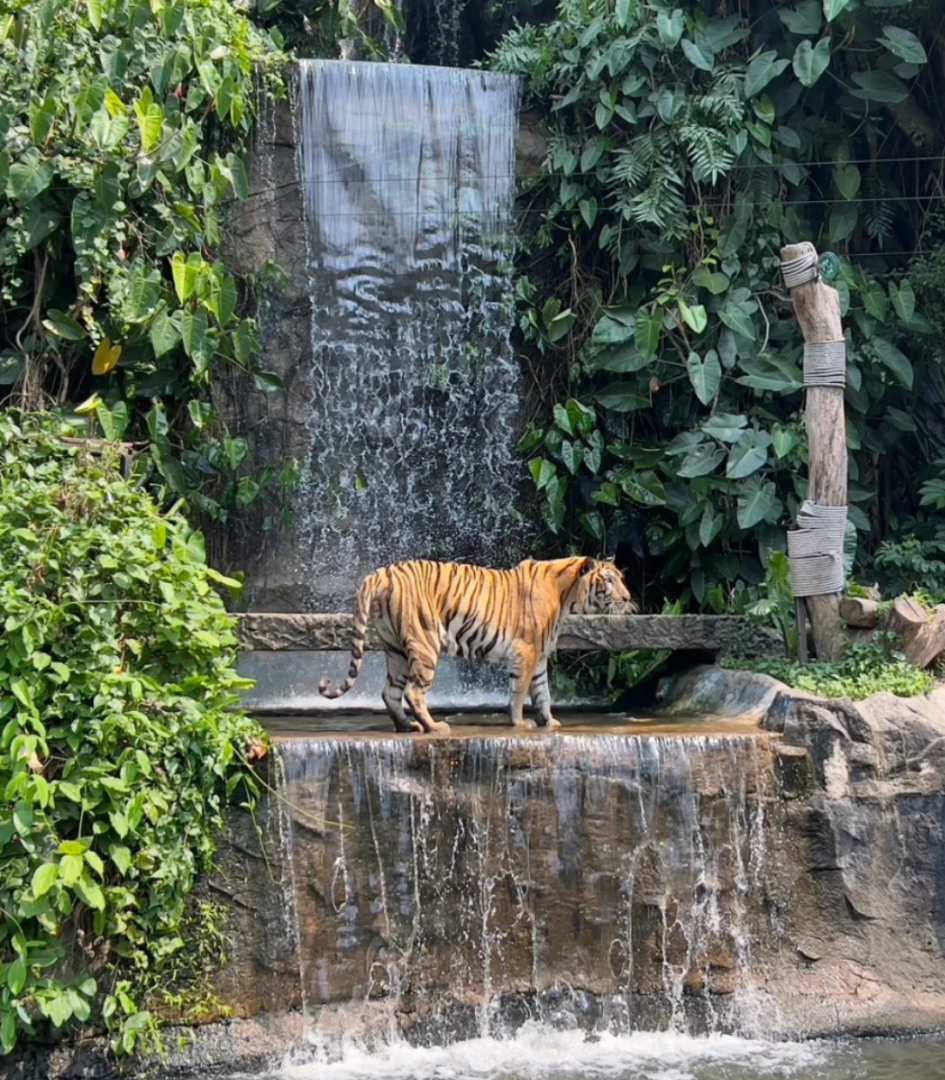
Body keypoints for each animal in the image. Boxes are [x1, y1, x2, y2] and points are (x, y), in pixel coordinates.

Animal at [319, 556, 634, 735]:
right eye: (608, 580)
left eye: (620, 578)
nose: (629, 598)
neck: (567, 596)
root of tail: (382, 572)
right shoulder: (527, 651)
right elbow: (520, 692)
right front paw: (520, 723)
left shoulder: (540, 655)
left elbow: (543, 692)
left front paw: (550, 722)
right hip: (425, 643)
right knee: (413, 692)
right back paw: (434, 727)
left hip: (394, 647)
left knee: (390, 692)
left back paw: (407, 727)